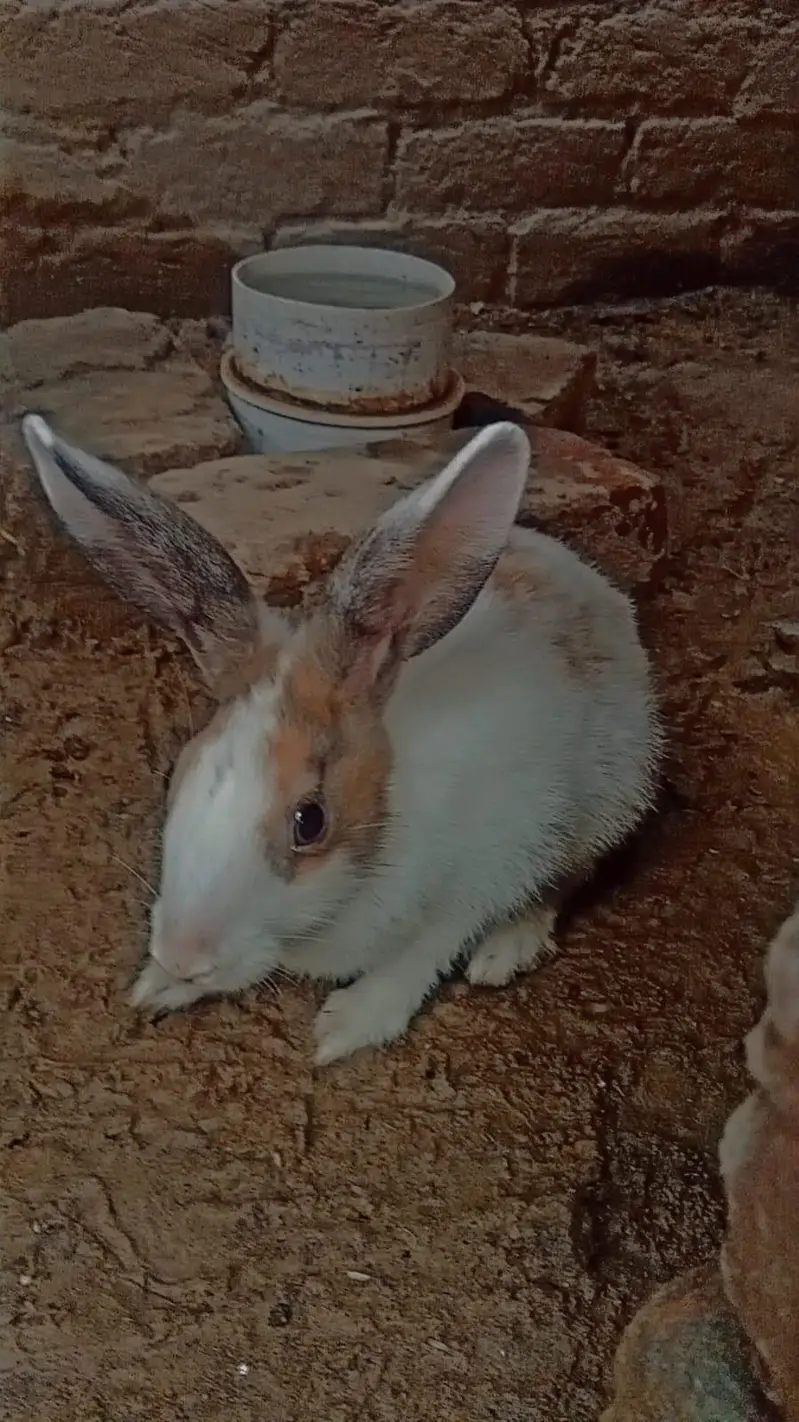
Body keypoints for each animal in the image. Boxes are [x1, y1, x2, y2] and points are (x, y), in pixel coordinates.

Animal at [21, 412, 661, 1064]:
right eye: (179, 778)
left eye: (310, 822)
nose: (184, 955)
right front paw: (158, 987)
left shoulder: (482, 874)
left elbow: (421, 954)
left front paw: (347, 1027)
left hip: (605, 803)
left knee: (565, 882)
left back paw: (506, 951)